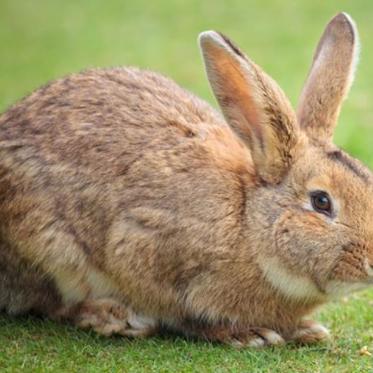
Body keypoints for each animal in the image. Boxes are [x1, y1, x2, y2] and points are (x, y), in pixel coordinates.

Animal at [0, 11, 372, 348]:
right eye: (321, 202)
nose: (372, 262)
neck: (247, 221)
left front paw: (306, 330)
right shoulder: (142, 247)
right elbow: (183, 315)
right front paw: (247, 334)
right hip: (46, 247)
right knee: (51, 304)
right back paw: (113, 318)